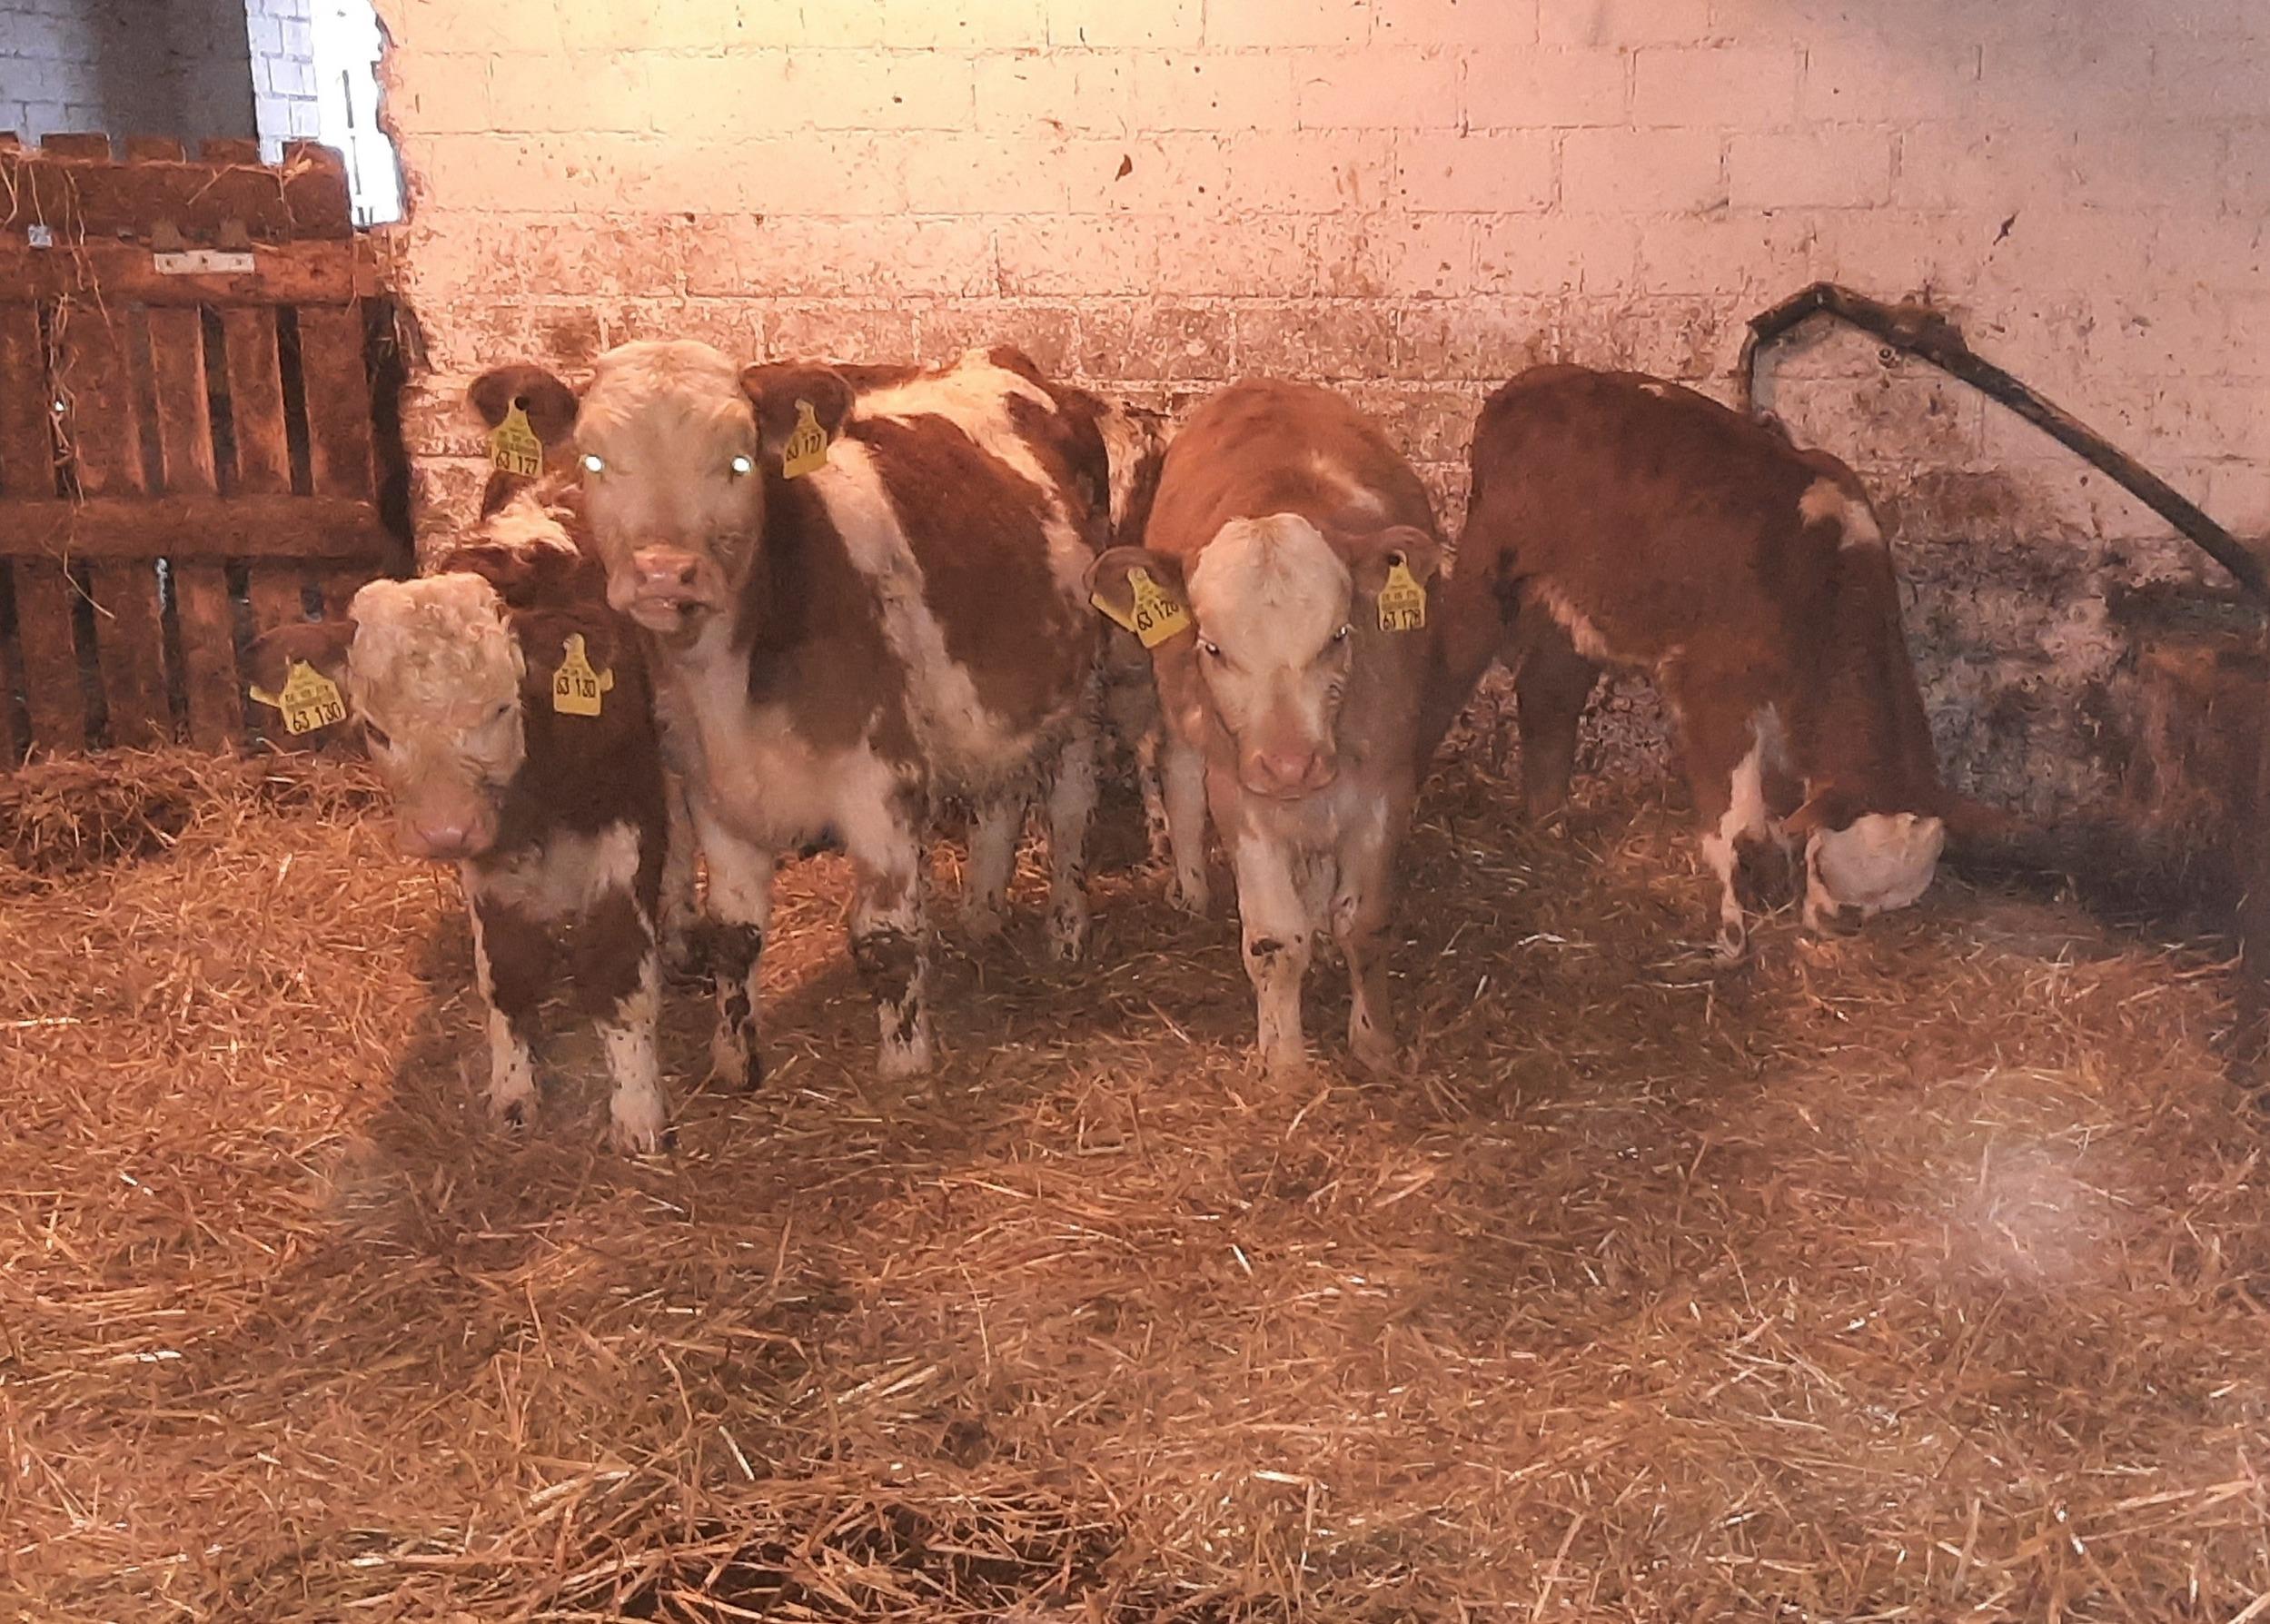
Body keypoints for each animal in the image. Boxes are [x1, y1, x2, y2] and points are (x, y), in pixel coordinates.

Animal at [248, 527, 675, 1151]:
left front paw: (638, 1113)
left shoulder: (631, 820)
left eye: (500, 709)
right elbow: (506, 970)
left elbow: (620, 970)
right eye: (376, 729)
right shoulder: (490, 867)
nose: (445, 831)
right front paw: (514, 1093)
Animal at [464, 341, 1110, 1083]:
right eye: (594, 460)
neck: (731, 689)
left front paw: (905, 1069)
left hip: (1084, 688)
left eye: (739, 461)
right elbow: (734, 937)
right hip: (995, 702)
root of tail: (1000, 356)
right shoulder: (717, 797)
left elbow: (886, 940)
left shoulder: (882, 785)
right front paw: (734, 1059)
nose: (663, 573)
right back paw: (982, 913)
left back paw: (1066, 929)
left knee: (1071, 810)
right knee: (999, 794)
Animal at [1086, 379, 1450, 1079]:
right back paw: (1190, 886)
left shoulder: (1386, 785)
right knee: (1178, 774)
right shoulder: (1243, 798)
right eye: (1214, 647)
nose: (1289, 766)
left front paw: (1374, 1044)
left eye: (1337, 636)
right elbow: (1275, 938)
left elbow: (1365, 923)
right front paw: (1284, 1064)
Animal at [1438, 364, 1985, 958]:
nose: (1839, 925)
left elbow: (1773, 815)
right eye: (1826, 867)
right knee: (1460, 659)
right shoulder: (1712, 688)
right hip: (1487, 566)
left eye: (1892, 904)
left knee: (1549, 694)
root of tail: (1534, 380)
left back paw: (1549, 825)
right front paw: (1731, 933)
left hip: (1570, 605)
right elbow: (1734, 821)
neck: (1817, 581)